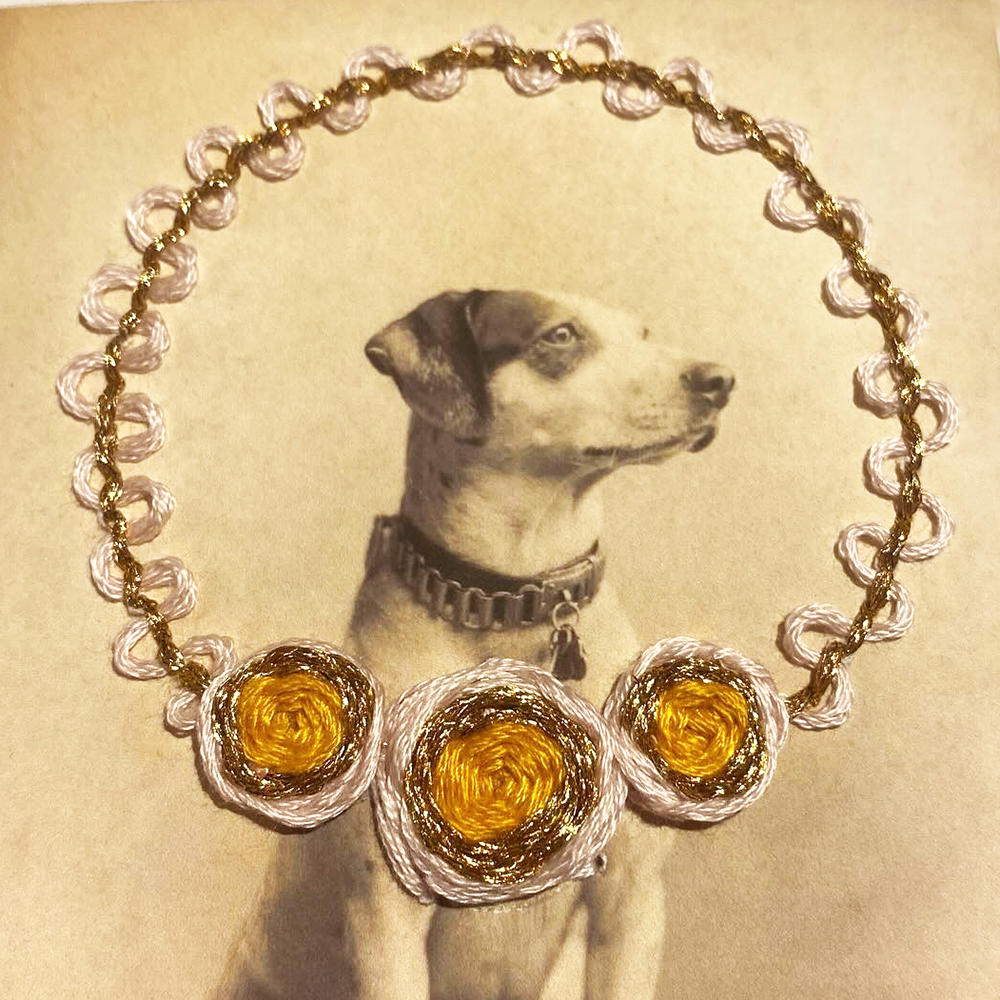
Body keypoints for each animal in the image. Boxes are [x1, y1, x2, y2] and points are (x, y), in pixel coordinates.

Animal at [219, 290, 736, 1000]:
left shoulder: (629, 905)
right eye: (560, 336)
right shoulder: (386, 921)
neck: (505, 608)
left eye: (643, 333)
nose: (720, 380)